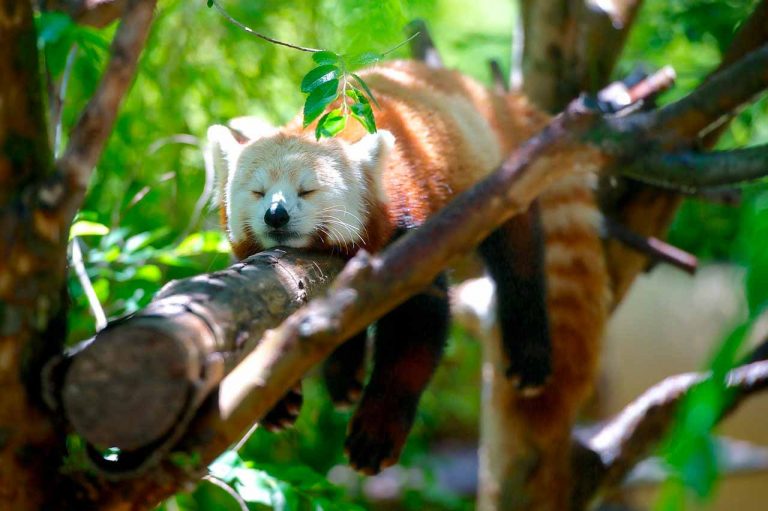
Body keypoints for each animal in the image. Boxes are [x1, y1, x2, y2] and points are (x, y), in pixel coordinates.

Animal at [207, 60, 608, 476]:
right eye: (257, 193)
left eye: (307, 191)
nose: (276, 215)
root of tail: (491, 97)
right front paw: (277, 399)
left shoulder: (409, 236)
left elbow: (415, 331)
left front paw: (376, 432)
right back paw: (343, 373)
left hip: (498, 179)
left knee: (519, 259)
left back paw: (530, 351)